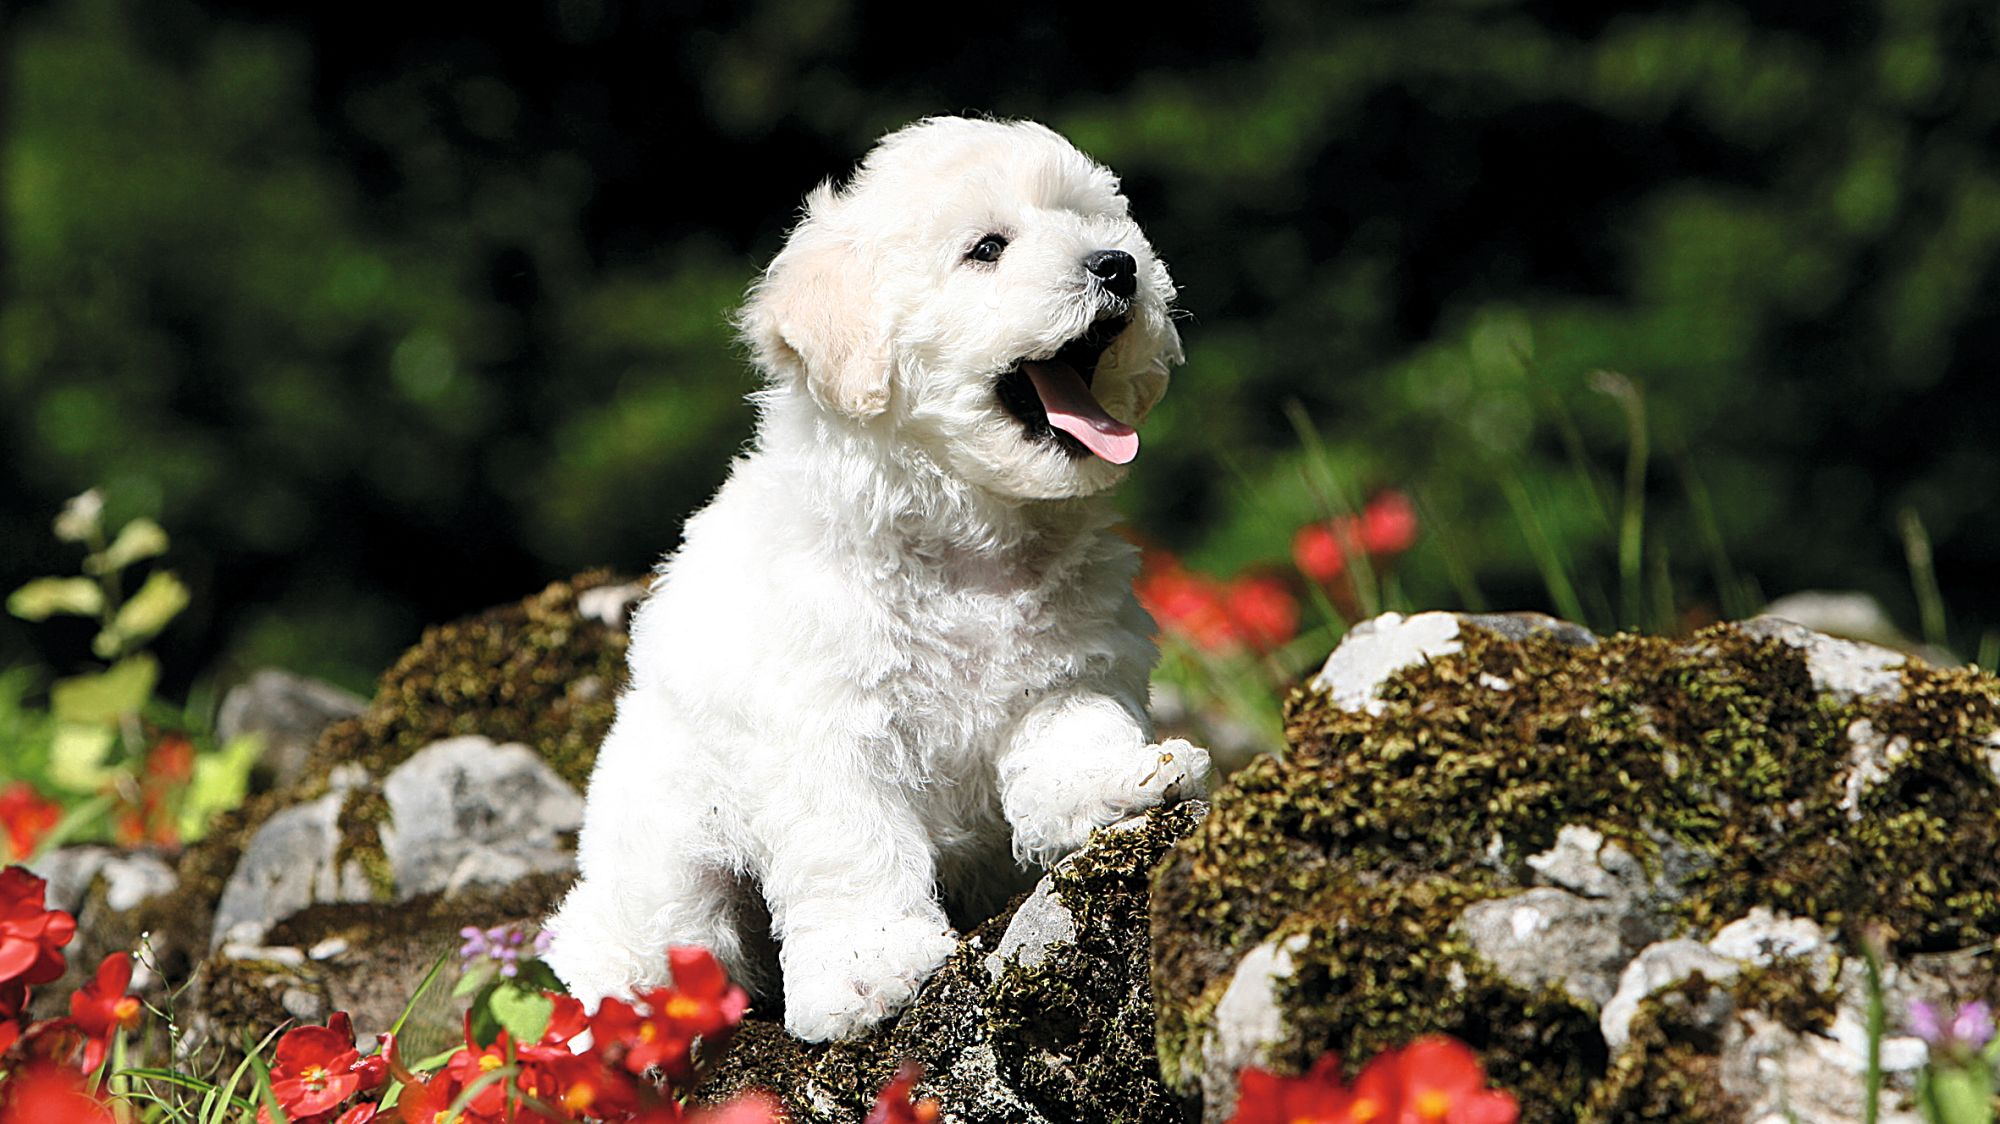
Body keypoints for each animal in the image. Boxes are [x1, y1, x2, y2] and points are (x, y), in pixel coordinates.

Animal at [540, 118, 1208, 1040]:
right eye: (987, 249)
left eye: (1093, 224)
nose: (1118, 266)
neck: (968, 537)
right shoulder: (827, 727)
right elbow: (851, 847)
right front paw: (870, 971)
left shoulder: (1067, 673)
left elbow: (1073, 740)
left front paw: (1121, 786)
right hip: (665, 848)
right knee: (636, 937)